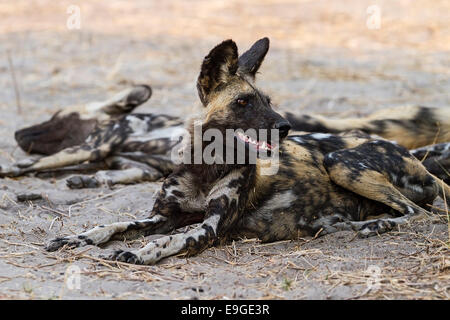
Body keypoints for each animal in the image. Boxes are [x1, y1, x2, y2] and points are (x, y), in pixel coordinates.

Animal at [44, 37, 450, 264]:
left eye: (268, 101)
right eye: (243, 102)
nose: (286, 126)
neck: (204, 169)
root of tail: (415, 157)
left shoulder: (207, 229)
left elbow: (169, 240)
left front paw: (141, 252)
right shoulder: (162, 216)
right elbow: (113, 224)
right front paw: (78, 237)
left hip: (340, 162)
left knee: (417, 213)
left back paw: (375, 225)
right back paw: (351, 224)